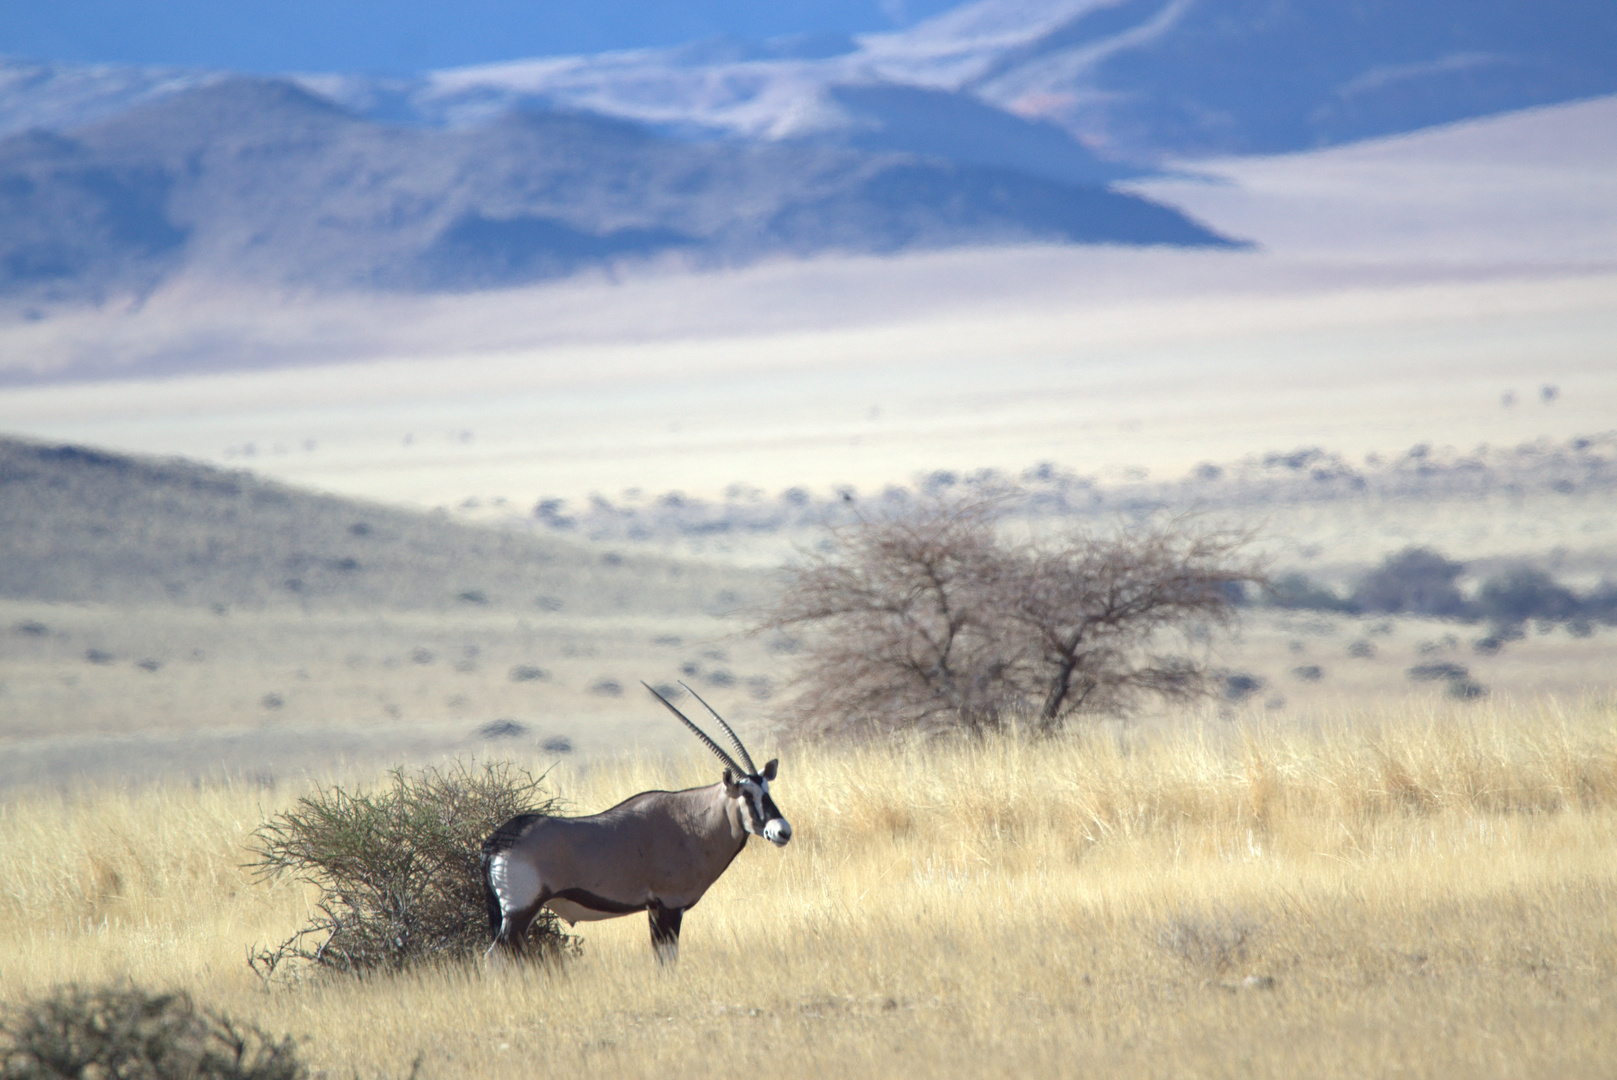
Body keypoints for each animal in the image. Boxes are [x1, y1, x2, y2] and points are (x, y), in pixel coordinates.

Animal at [478, 682, 789, 963]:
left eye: (767, 791)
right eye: (747, 794)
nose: (782, 831)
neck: (693, 821)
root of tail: (497, 841)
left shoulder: (653, 909)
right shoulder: (668, 907)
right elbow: (668, 960)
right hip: (519, 911)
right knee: (494, 957)